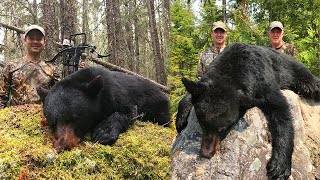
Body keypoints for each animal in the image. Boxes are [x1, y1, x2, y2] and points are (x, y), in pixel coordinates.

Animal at [37, 66, 170, 152]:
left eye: (75, 118)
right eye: (52, 122)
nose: (61, 146)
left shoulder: (116, 93)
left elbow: (127, 112)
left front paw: (103, 132)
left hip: (158, 105)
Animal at [180, 42, 320, 180]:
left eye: (224, 128)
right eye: (203, 124)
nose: (206, 153)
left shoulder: (263, 81)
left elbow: (281, 111)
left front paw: (280, 165)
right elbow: (190, 94)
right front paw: (180, 119)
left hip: (296, 72)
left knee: (312, 84)